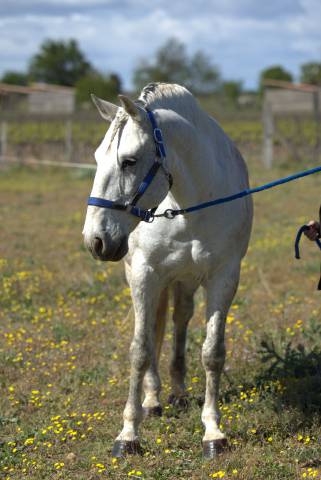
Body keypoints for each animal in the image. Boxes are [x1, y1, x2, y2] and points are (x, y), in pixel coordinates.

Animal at [83, 82, 252, 458]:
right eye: (98, 159)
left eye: (129, 161)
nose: (95, 240)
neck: (188, 205)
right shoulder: (145, 275)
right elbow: (141, 350)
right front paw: (128, 435)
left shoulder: (223, 277)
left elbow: (212, 353)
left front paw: (213, 432)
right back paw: (153, 399)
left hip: (185, 281)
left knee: (179, 321)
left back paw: (177, 392)